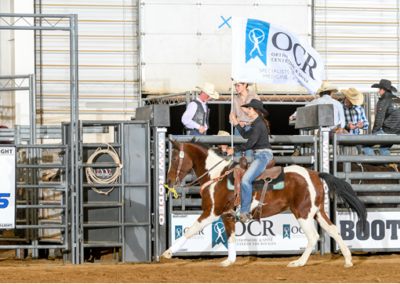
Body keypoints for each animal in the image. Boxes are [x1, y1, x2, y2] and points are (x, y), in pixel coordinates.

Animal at [161, 142, 368, 268]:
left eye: (173, 158)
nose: (169, 181)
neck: (216, 177)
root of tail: (315, 174)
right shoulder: (227, 215)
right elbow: (231, 238)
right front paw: (229, 261)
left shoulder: (211, 212)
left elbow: (189, 231)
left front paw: (168, 253)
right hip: (317, 211)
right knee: (333, 230)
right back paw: (348, 260)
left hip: (303, 213)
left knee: (313, 236)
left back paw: (298, 262)